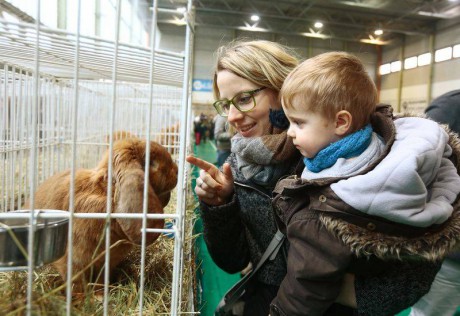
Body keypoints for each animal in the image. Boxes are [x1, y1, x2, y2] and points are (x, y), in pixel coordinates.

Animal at [27, 138, 177, 294]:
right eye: (151, 162)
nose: (177, 171)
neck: (107, 193)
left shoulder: (105, 264)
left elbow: (100, 280)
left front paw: (101, 295)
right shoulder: (73, 261)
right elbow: (77, 284)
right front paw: (84, 299)